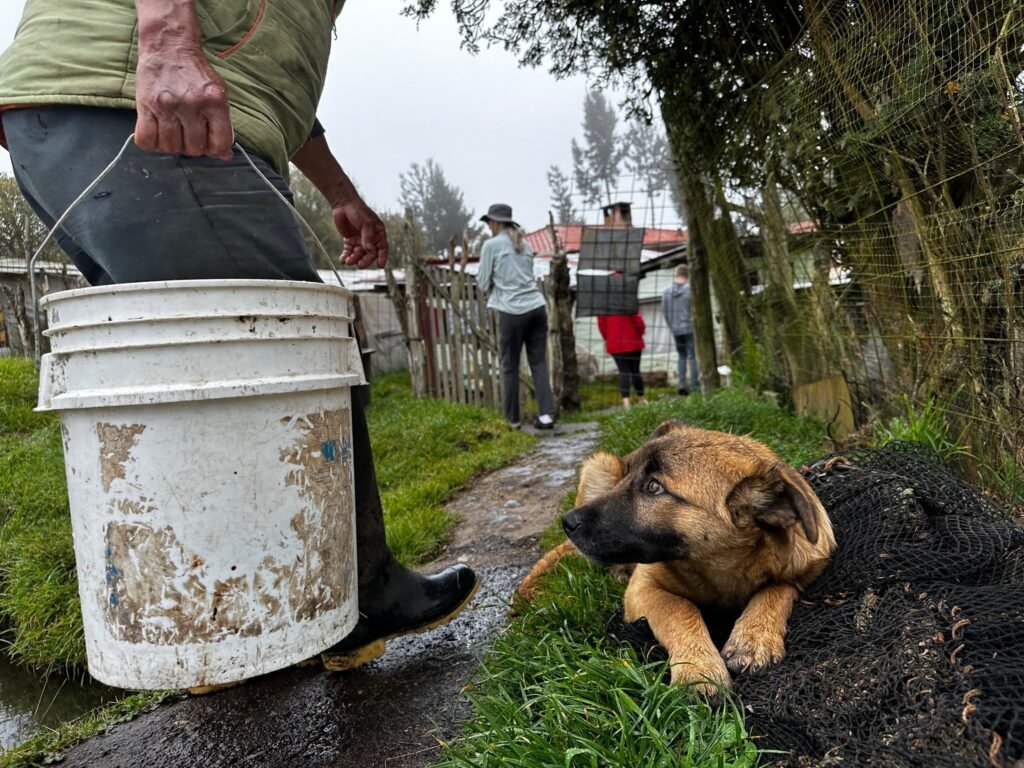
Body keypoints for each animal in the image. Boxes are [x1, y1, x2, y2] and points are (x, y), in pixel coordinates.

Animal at [520, 421, 831, 696]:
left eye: (654, 487)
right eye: (629, 473)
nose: (567, 523)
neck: (717, 569)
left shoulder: (802, 570)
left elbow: (776, 588)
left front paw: (753, 637)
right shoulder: (643, 587)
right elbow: (680, 608)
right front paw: (698, 668)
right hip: (600, 465)